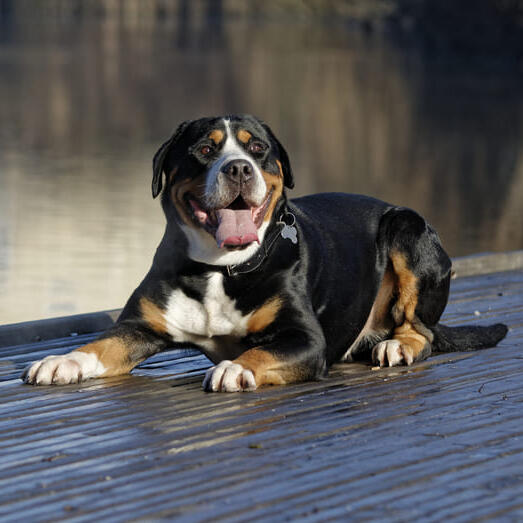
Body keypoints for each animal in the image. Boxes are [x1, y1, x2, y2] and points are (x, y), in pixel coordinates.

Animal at [22, 115, 510, 392]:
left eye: (258, 149)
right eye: (205, 149)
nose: (239, 168)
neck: (221, 269)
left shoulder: (305, 339)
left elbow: (258, 353)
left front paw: (236, 369)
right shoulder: (139, 326)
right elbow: (101, 344)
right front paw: (63, 361)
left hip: (407, 227)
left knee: (421, 331)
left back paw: (397, 346)